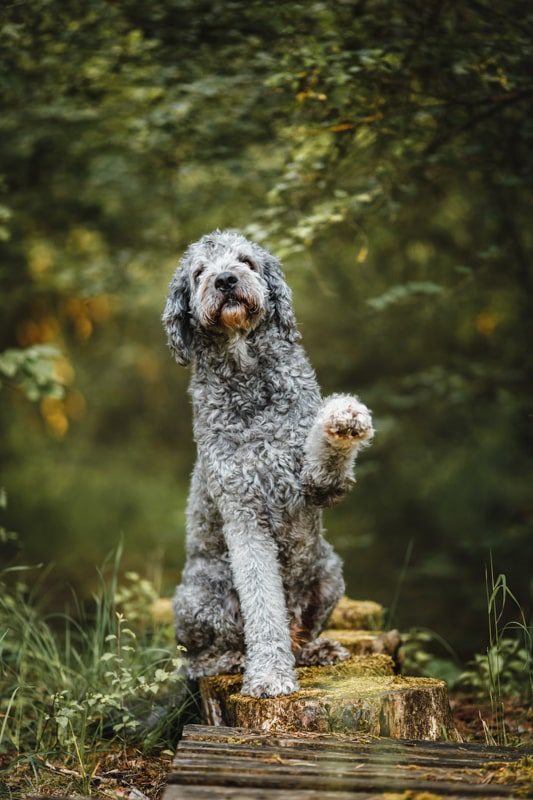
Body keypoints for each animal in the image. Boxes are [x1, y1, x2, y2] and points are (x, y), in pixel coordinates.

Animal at [162, 228, 374, 696]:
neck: (247, 372)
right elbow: (263, 604)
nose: (225, 279)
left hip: (329, 572)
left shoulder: (315, 485)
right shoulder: (245, 516)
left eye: (246, 261)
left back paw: (314, 650)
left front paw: (342, 417)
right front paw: (268, 676)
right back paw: (236, 660)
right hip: (200, 596)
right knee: (200, 657)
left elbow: (323, 458)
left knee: (300, 630)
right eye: (199, 272)